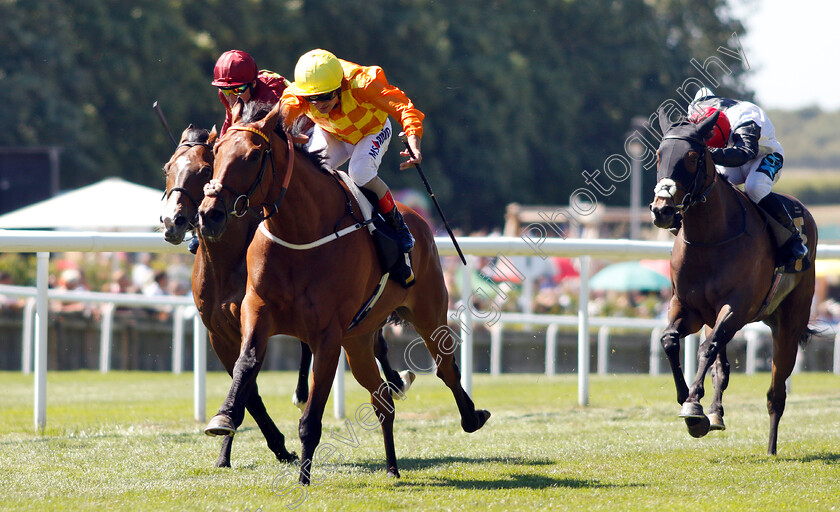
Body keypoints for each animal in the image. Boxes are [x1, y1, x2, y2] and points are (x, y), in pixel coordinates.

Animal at [160, 125, 414, 468]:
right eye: (167, 169)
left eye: (203, 170)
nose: (172, 221)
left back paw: (393, 382)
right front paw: (228, 449)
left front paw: (278, 446)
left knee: (371, 340)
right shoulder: (221, 333)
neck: (226, 261)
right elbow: (248, 388)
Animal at [196, 100, 488, 484]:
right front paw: (224, 416)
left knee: (446, 367)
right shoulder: (255, 312)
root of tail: (420, 221)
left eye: (253, 155)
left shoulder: (327, 334)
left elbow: (312, 415)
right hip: (359, 340)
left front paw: (303, 478)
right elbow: (246, 365)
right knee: (382, 398)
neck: (301, 233)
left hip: (428, 312)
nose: (209, 214)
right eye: (215, 154)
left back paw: (471, 417)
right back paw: (392, 468)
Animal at [648, 107, 812, 452]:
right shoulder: (689, 308)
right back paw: (716, 413)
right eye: (658, 155)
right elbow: (670, 340)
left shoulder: (735, 308)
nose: (662, 211)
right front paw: (688, 399)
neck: (709, 239)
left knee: (776, 391)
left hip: (788, 325)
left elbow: (707, 349)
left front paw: (693, 406)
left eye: (692, 156)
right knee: (721, 369)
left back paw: (771, 448)